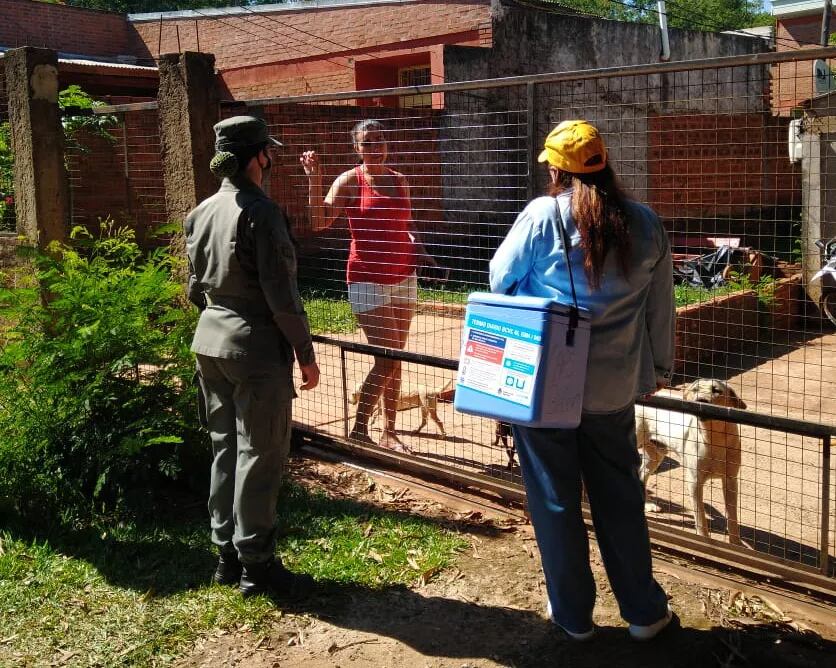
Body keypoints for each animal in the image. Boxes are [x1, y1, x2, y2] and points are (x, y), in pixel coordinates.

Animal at [636, 378, 748, 544]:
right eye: (695, 390)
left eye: (716, 390)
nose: (701, 400)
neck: (713, 438)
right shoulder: (694, 481)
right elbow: (700, 517)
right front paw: (704, 541)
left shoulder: (730, 480)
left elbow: (732, 517)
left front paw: (735, 544)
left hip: (656, 455)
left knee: (641, 474)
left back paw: (648, 504)